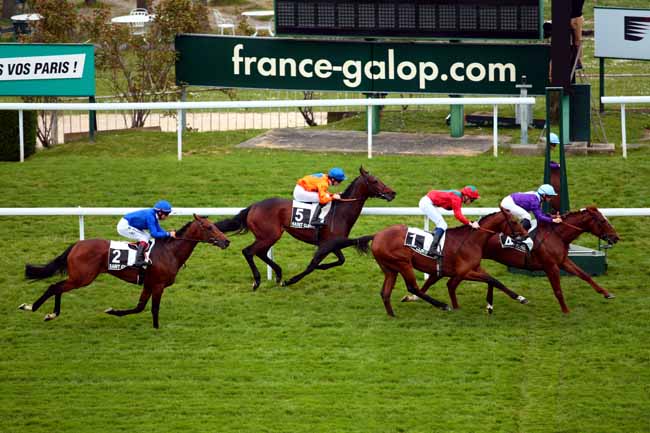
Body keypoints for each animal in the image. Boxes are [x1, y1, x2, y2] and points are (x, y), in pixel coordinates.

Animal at [19, 213, 230, 328]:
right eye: (209, 227)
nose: (226, 241)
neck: (170, 251)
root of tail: (76, 245)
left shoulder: (148, 284)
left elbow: (140, 307)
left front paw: (114, 311)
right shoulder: (158, 284)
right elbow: (153, 308)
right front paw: (157, 329)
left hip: (78, 278)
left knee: (58, 288)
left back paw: (50, 314)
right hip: (82, 278)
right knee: (55, 287)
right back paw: (32, 308)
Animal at [216, 166, 394, 290]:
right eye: (375, 181)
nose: (392, 193)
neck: (340, 212)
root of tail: (253, 206)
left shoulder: (331, 243)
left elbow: (340, 260)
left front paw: (322, 267)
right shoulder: (326, 245)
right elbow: (312, 265)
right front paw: (290, 281)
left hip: (268, 236)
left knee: (259, 252)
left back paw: (278, 274)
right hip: (270, 235)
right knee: (248, 251)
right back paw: (258, 281)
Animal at [346, 210, 524, 316]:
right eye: (515, 222)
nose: (525, 234)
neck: (472, 240)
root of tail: (377, 235)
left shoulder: (471, 268)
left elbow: (494, 281)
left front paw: (505, 301)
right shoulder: (464, 272)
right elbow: (491, 280)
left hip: (390, 269)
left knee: (385, 292)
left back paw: (392, 315)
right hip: (403, 263)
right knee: (413, 287)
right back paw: (442, 305)